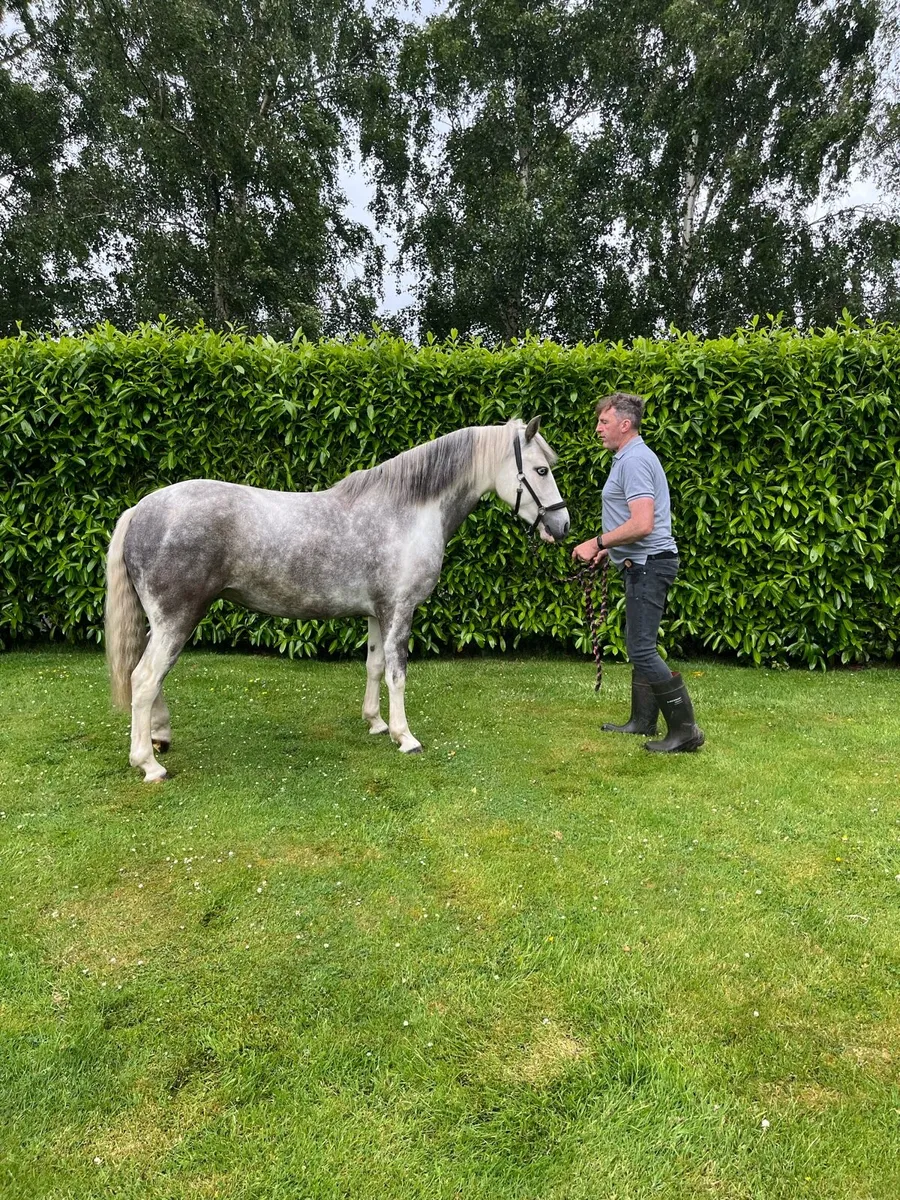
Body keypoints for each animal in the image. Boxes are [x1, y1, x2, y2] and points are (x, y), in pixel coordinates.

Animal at [105, 416, 570, 781]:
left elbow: (374, 666)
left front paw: (376, 723)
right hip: (177, 618)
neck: (406, 511)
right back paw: (148, 764)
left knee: (150, 676)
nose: (562, 525)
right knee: (144, 679)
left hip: (161, 622)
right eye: (541, 470)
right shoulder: (400, 610)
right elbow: (398, 674)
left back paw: (160, 737)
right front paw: (405, 737)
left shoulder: (377, 613)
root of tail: (140, 509)